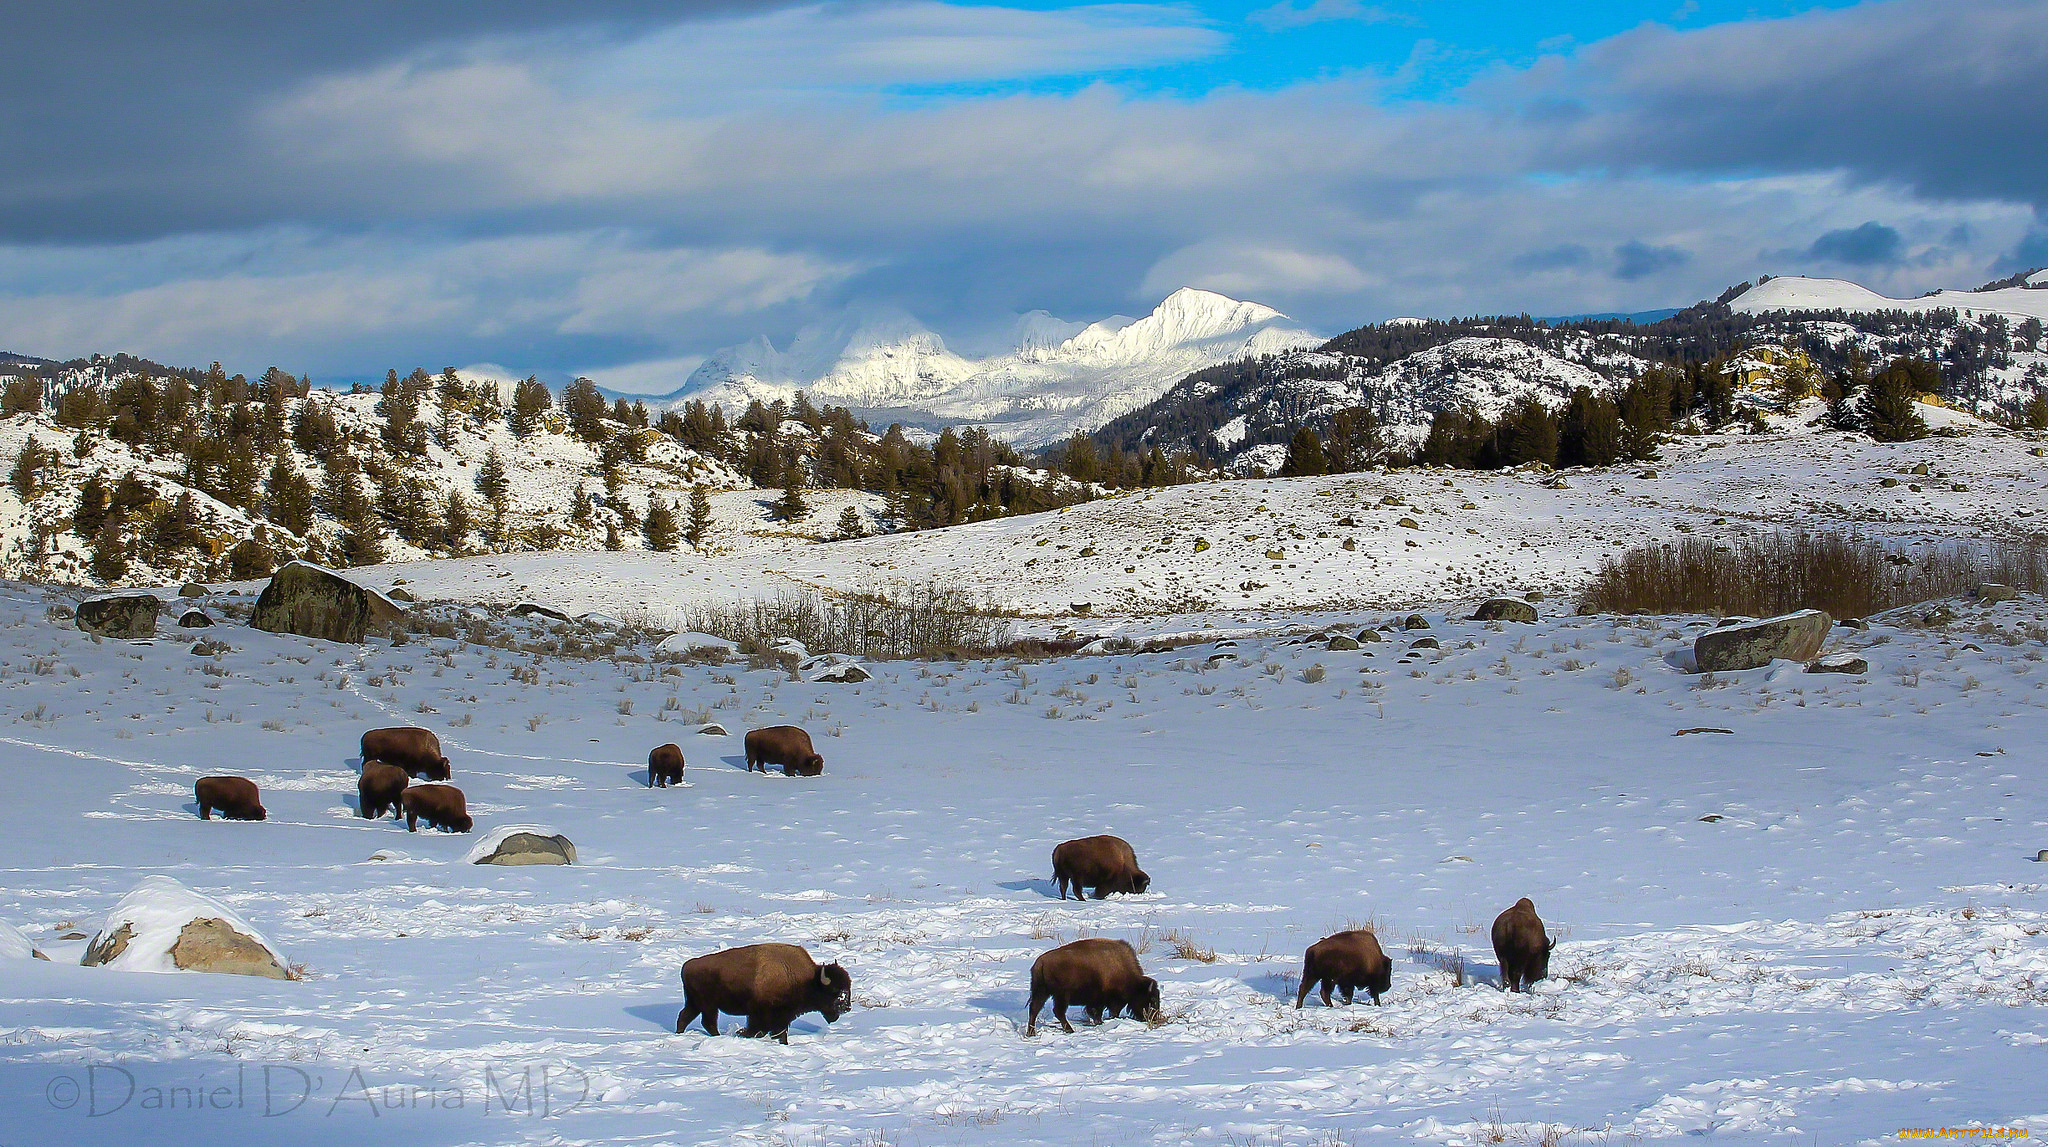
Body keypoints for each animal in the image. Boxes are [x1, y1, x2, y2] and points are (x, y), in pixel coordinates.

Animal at [675, 946, 851, 1044]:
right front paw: (742, 1033)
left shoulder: (782, 1018)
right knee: (707, 1022)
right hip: (708, 1005)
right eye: (834, 990)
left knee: (685, 1017)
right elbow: (760, 1030)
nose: (847, 1007)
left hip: (696, 1004)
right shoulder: (763, 1015)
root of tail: (687, 966)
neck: (808, 979)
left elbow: (779, 1033)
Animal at [1032, 938, 1163, 1036]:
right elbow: (1105, 1012)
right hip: (1062, 995)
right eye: (1152, 999)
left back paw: (1031, 1033)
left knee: (1034, 1009)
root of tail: (1041, 962)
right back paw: (1070, 1030)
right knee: (1058, 1011)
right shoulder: (1104, 1000)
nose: (1154, 1019)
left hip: (1042, 992)